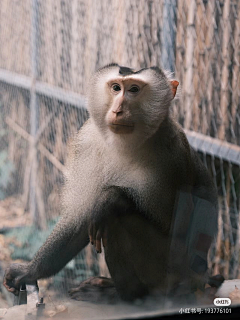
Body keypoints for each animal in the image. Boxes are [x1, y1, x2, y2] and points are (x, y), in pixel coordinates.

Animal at [2, 63, 218, 304]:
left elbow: (177, 230)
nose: (118, 110)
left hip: (173, 274)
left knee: (116, 219)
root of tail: (199, 277)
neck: (127, 144)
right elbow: (80, 219)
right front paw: (29, 271)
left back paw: (129, 295)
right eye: (116, 88)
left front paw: (112, 197)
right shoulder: (88, 140)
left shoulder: (173, 155)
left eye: (134, 89)